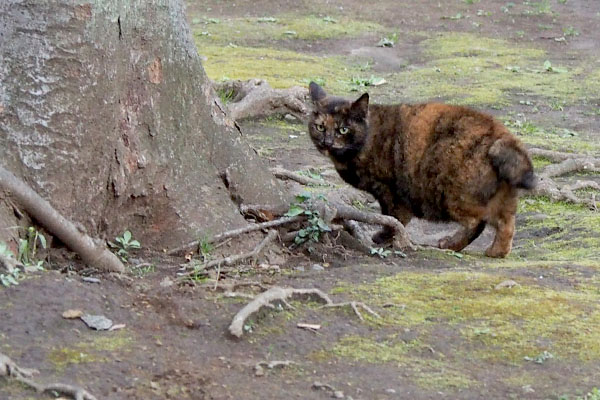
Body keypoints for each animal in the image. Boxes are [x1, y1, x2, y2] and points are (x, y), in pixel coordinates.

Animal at [308, 81, 536, 258]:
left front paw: (384, 236)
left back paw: (450, 244)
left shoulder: (389, 190)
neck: (368, 137)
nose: (327, 142)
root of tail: (501, 135)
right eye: (320, 127)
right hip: (503, 197)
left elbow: (395, 218)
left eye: (343, 129)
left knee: (477, 221)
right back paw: (496, 251)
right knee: (507, 224)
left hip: (453, 195)